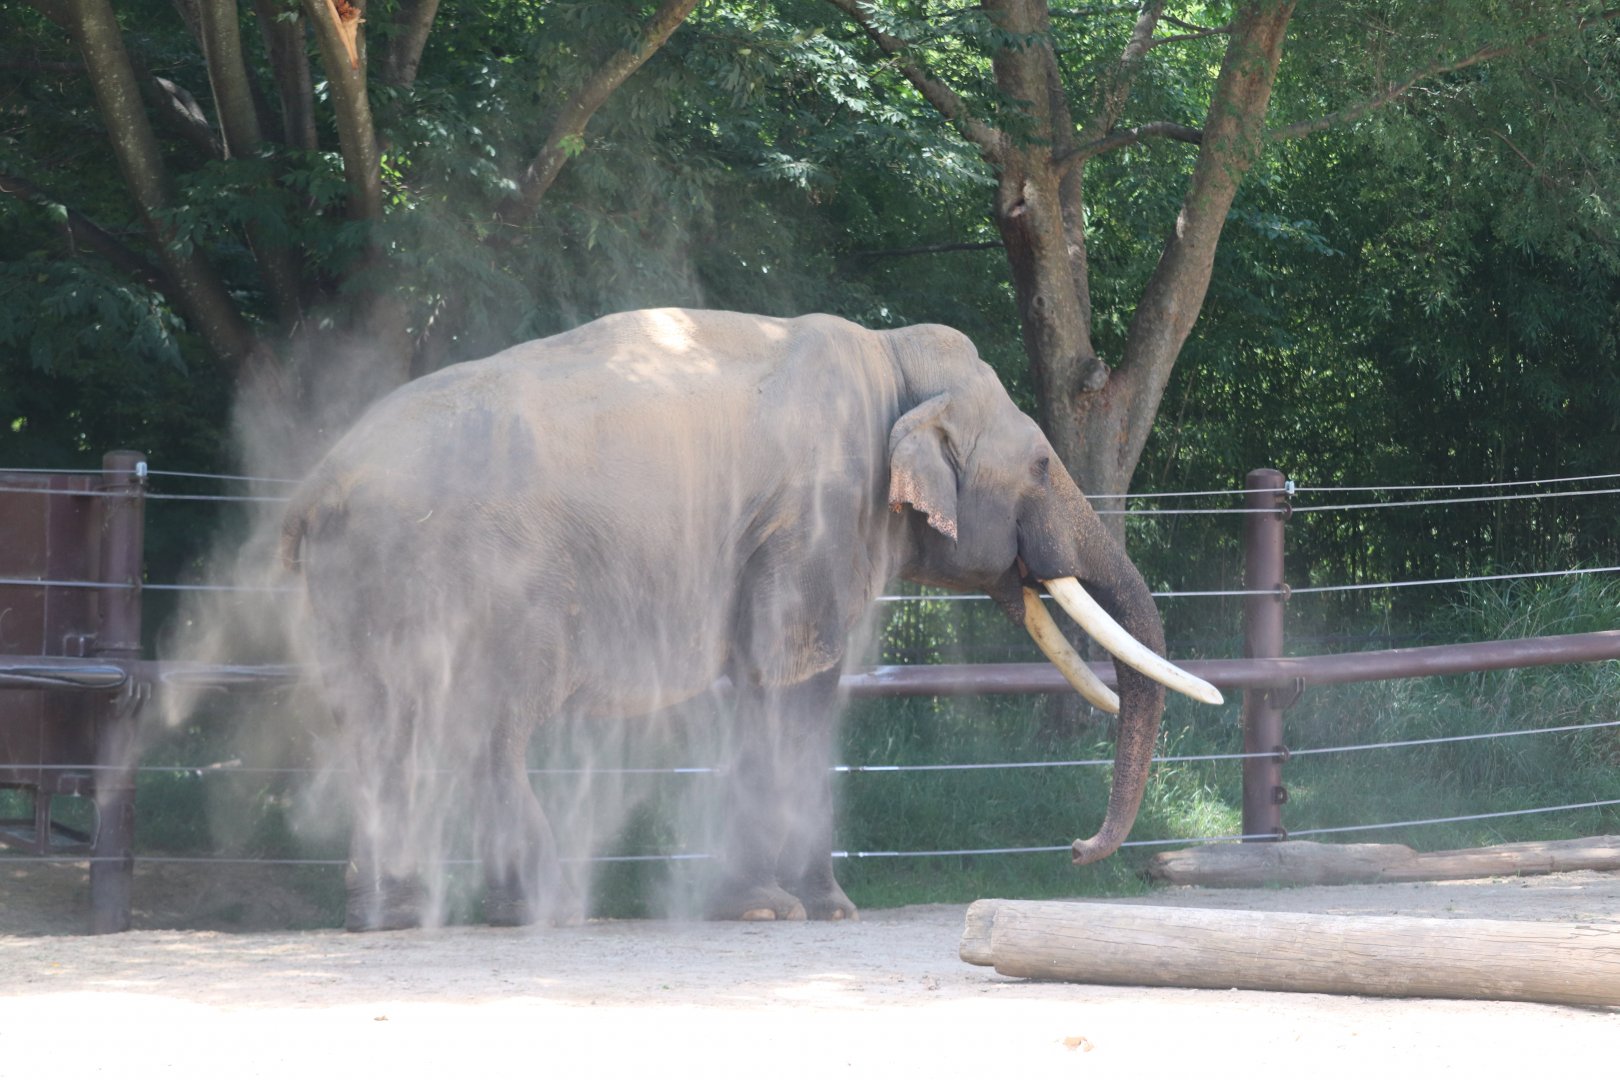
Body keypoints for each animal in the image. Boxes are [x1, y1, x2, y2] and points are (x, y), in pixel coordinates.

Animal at [278, 308, 1221, 931]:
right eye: (1040, 466)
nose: (1075, 852)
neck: (893, 361)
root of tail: (317, 487)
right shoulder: (813, 515)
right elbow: (793, 682)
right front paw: (800, 910)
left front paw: (786, 907)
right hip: (481, 581)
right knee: (486, 726)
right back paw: (540, 907)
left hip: (364, 589)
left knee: (383, 728)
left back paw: (389, 914)